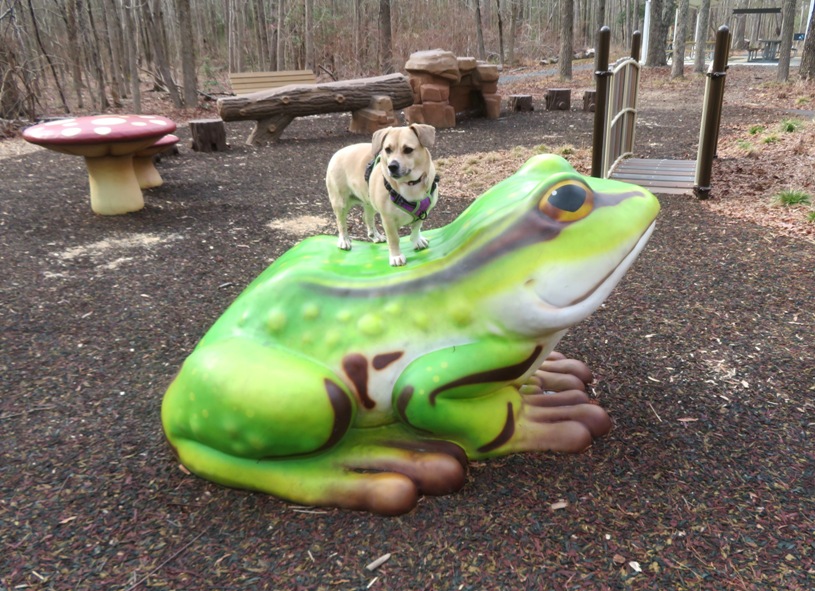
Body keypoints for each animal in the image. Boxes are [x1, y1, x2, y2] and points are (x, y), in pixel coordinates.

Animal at [326, 125, 440, 266]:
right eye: (387, 149)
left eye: (408, 149)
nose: (392, 166)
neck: (410, 183)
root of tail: (339, 152)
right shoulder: (388, 219)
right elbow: (394, 238)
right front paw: (396, 256)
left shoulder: (423, 212)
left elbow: (416, 228)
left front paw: (417, 240)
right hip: (340, 202)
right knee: (341, 222)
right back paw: (344, 240)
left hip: (369, 201)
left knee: (366, 217)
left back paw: (375, 235)